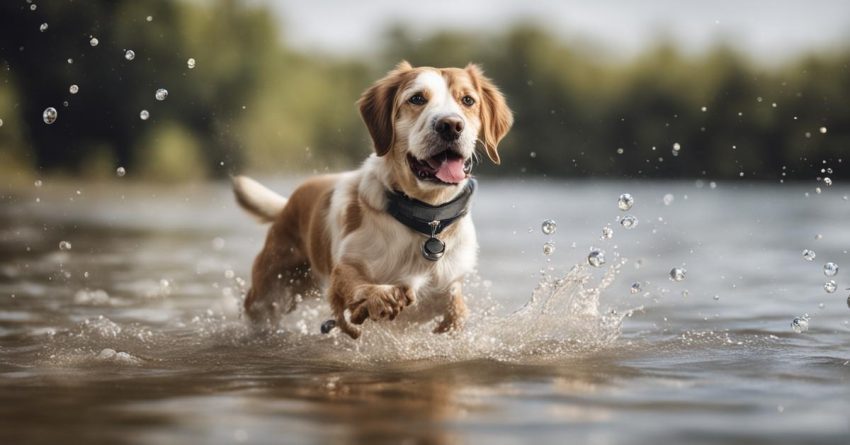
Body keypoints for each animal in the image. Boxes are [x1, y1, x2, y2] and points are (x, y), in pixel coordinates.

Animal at [230, 60, 510, 338]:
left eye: (468, 100)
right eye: (417, 98)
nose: (451, 125)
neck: (426, 218)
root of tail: (289, 202)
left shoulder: (449, 284)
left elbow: (457, 311)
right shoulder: (345, 267)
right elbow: (357, 286)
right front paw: (380, 297)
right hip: (267, 293)